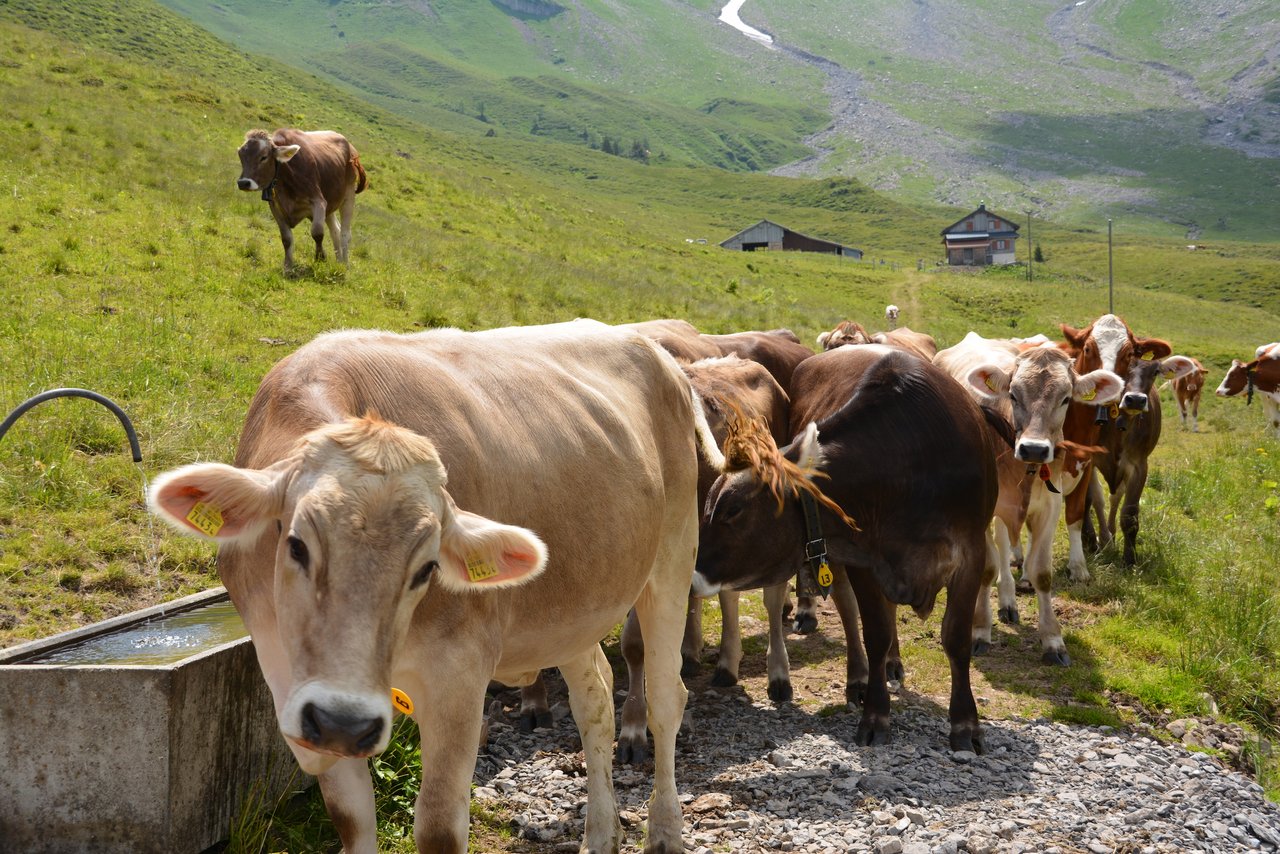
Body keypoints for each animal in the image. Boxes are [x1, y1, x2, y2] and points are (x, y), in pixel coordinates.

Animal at [151, 320, 716, 854]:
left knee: (667, 698)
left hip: (673, 556)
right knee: (594, 700)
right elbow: (351, 819)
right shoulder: (294, 683)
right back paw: (600, 834)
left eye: (426, 569)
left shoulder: (458, 675)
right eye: (294, 544)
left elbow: (440, 828)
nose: (344, 723)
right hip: (575, 611)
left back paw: (664, 831)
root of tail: (652, 347)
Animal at [235, 128, 368, 270]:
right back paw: (339, 262)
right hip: (330, 205)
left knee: (345, 234)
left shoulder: (319, 202)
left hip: (349, 194)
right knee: (335, 231)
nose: (243, 183)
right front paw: (288, 266)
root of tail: (349, 145)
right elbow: (286, 239)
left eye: (263, 157)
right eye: (241, 156)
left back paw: (346, 265)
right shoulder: (275, 207)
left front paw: (320, 258)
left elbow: (317, 232)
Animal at [691, 343, 998, 752]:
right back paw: (860, 679)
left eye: (732, 510)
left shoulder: (970, 552)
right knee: (851, 613)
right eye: (707, 505)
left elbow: (956, 639)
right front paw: (875, 715)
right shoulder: (861, 557)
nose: (688, 571)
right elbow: (874, 632)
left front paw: (965, 725)